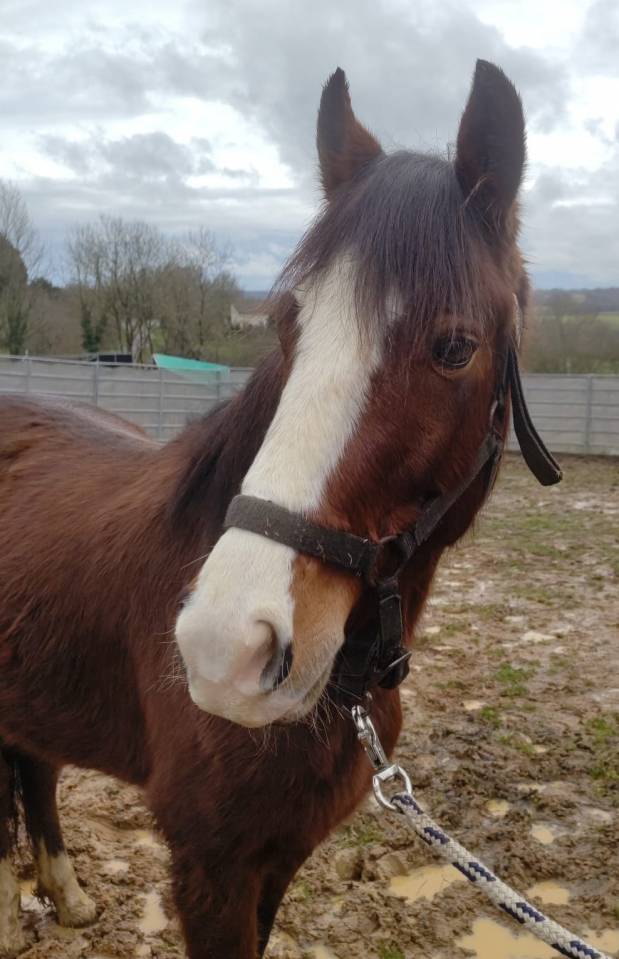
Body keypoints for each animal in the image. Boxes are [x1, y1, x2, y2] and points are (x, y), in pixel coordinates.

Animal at [0, 61, 545, 958]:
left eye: (455, 348)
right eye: (290, 327)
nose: (224, 650)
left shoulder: (280, 854)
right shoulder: (211, 866)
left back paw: (68, 894)